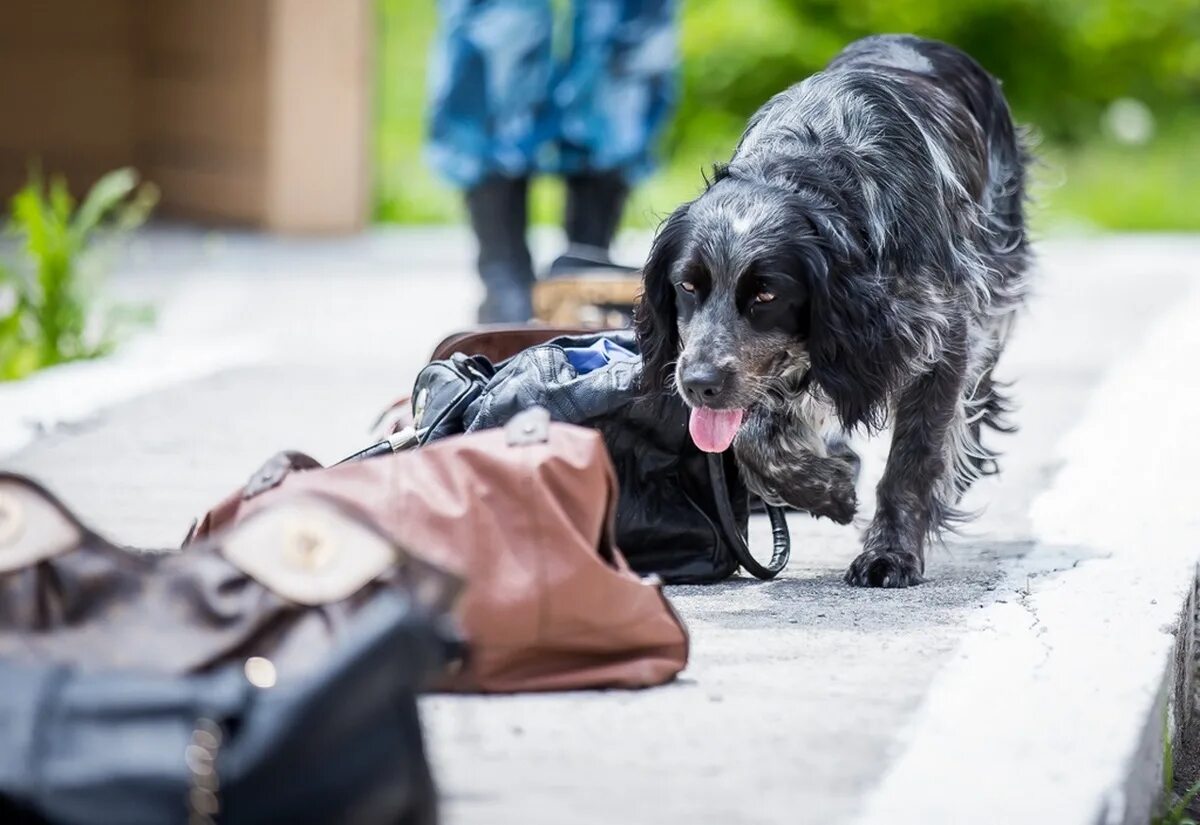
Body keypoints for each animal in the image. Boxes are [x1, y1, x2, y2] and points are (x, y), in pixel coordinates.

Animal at [638, 33, 1032, 587]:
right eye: (687, 286)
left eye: (766, 296)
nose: (697, 384)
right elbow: (751, 443)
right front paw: (830, 488)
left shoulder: (945, 333)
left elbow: (913, 458)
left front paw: (890, 553)